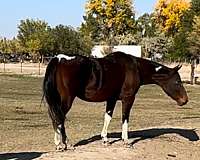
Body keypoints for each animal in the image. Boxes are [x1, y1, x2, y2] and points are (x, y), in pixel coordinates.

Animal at [43, 51, 188, 150]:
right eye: (177, 81)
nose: (185, 100)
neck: (135, 67)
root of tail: (58, 59)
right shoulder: (128, 99)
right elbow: (125, 118)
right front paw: (126, 141)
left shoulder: (111, 99)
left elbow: (108, 117)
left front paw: (105, 139)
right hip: (67, 100)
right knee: (59, 118)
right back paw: (67, 143)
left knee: (55, 117)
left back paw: (58, 144)